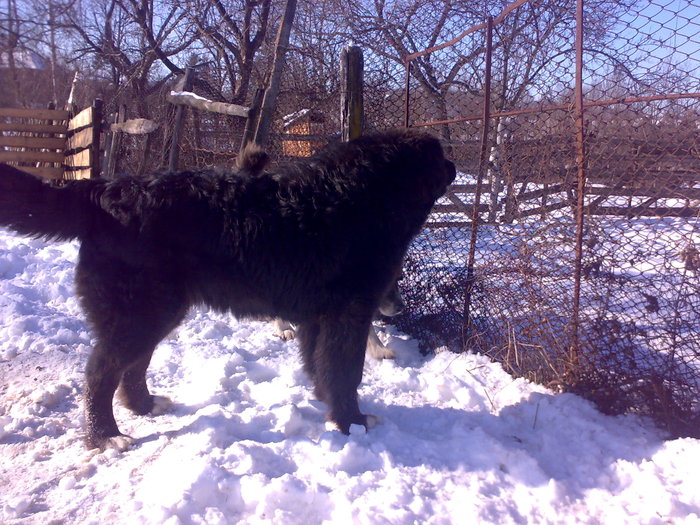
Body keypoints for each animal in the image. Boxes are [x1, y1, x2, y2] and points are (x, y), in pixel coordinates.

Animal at [0, 129, 456, 448]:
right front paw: (352, 423)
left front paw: (327, 407)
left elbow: (322, 370)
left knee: (132, 368)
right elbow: (346, 373)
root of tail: (106, 190)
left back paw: (145, 407)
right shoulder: (347, 315)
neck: (359, 197)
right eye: (439, 155)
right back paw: (106, 437)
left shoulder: (318, 319)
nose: (454, 164)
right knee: (99, 373)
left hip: (157, 313)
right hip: (140, 314)